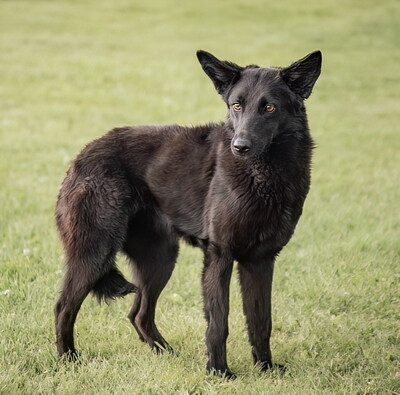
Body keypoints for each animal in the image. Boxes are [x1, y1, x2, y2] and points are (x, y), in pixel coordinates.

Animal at [54, 49, 322, 378]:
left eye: (269, 107)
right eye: (236, 105)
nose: (239, 146)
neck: (264, 176)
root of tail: (81, 156)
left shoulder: (260, 261)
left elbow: (261, 322)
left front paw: (266, 368)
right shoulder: (219, 255)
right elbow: (219, 323)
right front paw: (219, 372)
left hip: (159, 260)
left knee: (139, 314)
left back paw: (166, 355)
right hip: (95, 253)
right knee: (64, 307)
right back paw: (69, 359)